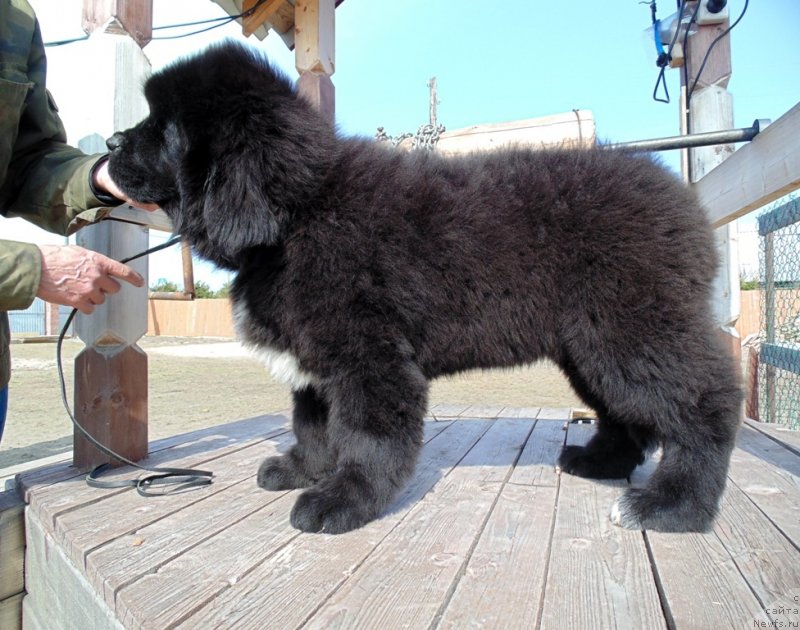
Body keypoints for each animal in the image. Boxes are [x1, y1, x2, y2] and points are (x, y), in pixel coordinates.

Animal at [108, 42, 744, 536]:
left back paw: (672, 506)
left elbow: (366, 438)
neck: (297, 214)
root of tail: (685, 205)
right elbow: (313, 426)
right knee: (626, 415)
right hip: (589, 348)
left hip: (632, 333)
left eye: (164, 129)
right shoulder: (318, 364)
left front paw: (341, 501)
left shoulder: (370, 359)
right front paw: (302, 470)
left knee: (704, 405)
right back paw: (601, 462)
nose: (111, 142)